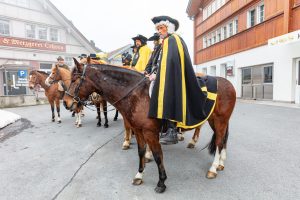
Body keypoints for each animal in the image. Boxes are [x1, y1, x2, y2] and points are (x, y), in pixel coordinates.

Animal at [63, 60, 237, 193]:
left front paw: (161, 182)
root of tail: (228, 83)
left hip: (220, 120)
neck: (138, 95)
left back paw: (213, 168)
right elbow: (141, 152)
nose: (66, 103)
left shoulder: (150, 132)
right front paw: (139, 175)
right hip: (214, 120)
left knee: (219, 142)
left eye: (74, 80)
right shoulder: (138, 130)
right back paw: (221, 163)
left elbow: (158, 155)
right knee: (223, 140)